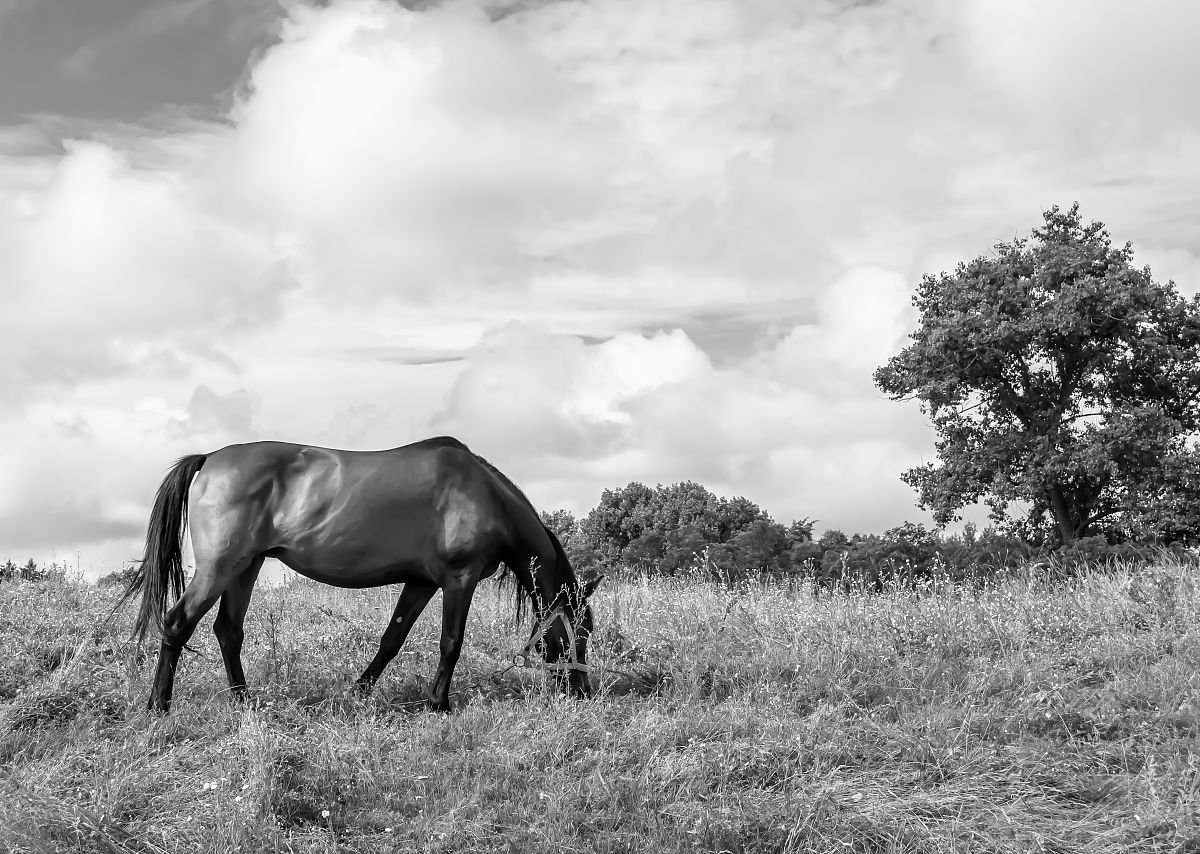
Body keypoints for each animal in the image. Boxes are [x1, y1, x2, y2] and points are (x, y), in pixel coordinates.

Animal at [120, 435, 601, 713]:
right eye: (582, 630)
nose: (583, 691)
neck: (485, 495)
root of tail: (209, 459)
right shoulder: (457, 580)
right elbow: (451, 642)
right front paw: (438, 703)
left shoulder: (422, 582)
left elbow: (393, 637)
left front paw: (359, 691)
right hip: (220, 568)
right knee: (178, 623)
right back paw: (158, 706)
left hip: (245, 567)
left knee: (227, 630)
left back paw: (243, 702)